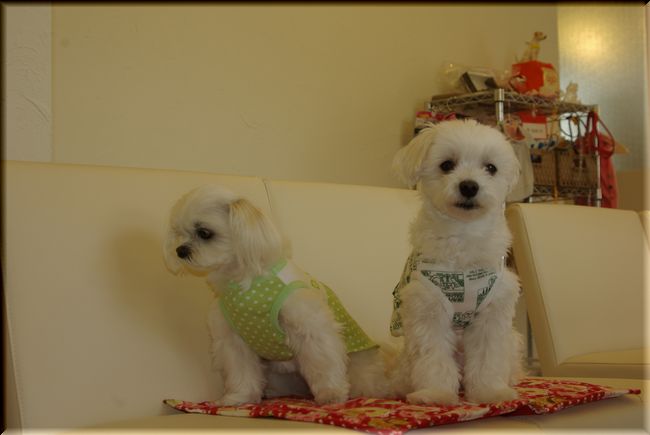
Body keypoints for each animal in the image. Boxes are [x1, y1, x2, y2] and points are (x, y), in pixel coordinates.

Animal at [163, 185, 391, 405]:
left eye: (204, 233)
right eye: (178, 232)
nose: (180, 250)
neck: (245, 285)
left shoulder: (311, 328)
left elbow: (322, 362)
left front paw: (331, 394)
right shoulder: (233, 341)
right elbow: (241, 373)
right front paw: (239, 398)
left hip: (360, 373)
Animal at [389, 119, 525, 405]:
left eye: (491, 167)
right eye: (447, 165)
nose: (469, 186)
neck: (463, 236)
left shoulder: (492, 312)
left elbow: (487, 358)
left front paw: (490, 392)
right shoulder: (427, 308)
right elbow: (433, 357)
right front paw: (435, 394)